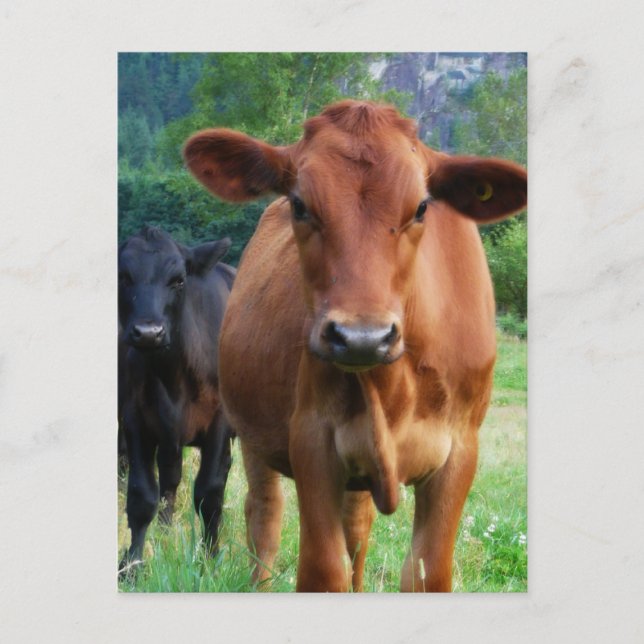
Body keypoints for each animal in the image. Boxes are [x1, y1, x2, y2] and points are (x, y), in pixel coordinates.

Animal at [118, 226, 235, 569]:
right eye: (123, 276)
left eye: (179, 279)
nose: (148, 332)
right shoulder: (134, 419)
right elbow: (142, 495)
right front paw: (131, 565)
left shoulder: (220, 421)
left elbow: (210, 492)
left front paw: (209, 559)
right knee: (170, 478)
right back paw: (166, 529)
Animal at [183, 100, 527, 592]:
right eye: (300, 204)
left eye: (421, 207)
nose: (362, 337)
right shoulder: (311, 438)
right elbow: (323, 569)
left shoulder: (461, 449)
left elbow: (427, 572)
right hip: (250, 433)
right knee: (264, 516)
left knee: (357, 529)